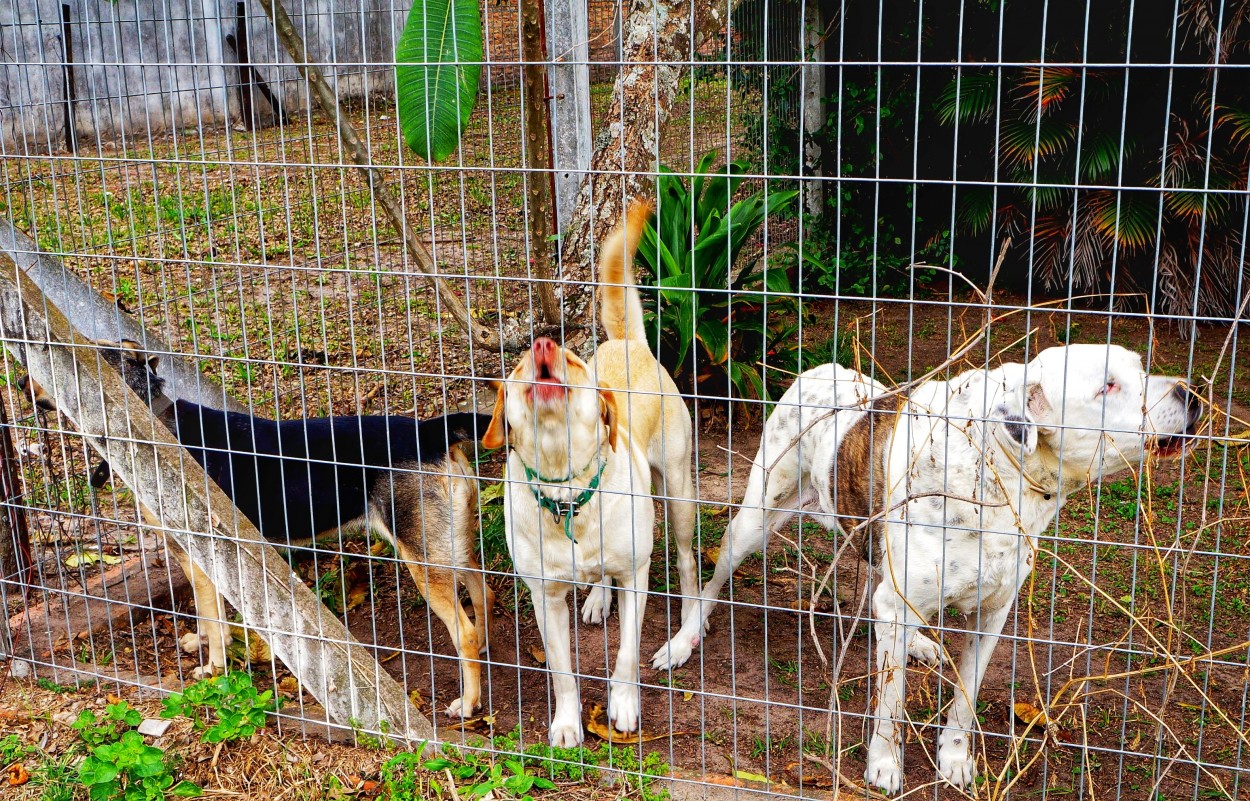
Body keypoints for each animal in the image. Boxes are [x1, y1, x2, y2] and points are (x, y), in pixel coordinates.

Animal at [20, 339, 492, 714]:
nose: (23, 384)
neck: (148, 420)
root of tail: (429, 431)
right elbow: (208, 615)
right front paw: (203, 644)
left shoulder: (202, 551)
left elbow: (211, 616)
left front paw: (214, 668)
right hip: (451, 545)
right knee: (482, 594)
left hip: (423, 559)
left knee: (464, 631)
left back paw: (469, 703)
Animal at [482, 198, 700, 744]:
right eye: (520, 364)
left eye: (573, 361)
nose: (542, 345)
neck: (567, 489)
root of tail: (628, 343)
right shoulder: (544, 598)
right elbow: (562, 669)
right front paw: (565, 723)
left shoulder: (637, 576)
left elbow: (625, 656)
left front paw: (623, 707)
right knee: (602, 576)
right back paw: (599, 598)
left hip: (679, 493)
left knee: (688, 563)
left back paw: (687, 633)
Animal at [655, 344, 1200, 794]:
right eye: (1108, 386)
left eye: (1141, 368)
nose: (1190, 393)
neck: (1001, 471)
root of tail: (819, 369)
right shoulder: (899, 607)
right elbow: (890, 705)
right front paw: (884, 765)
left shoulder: (991, 616)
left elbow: (965, 698)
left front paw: (955, 760)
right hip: (758, 516)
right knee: (714, 576)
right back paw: (684, 639)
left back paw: (917, 642)